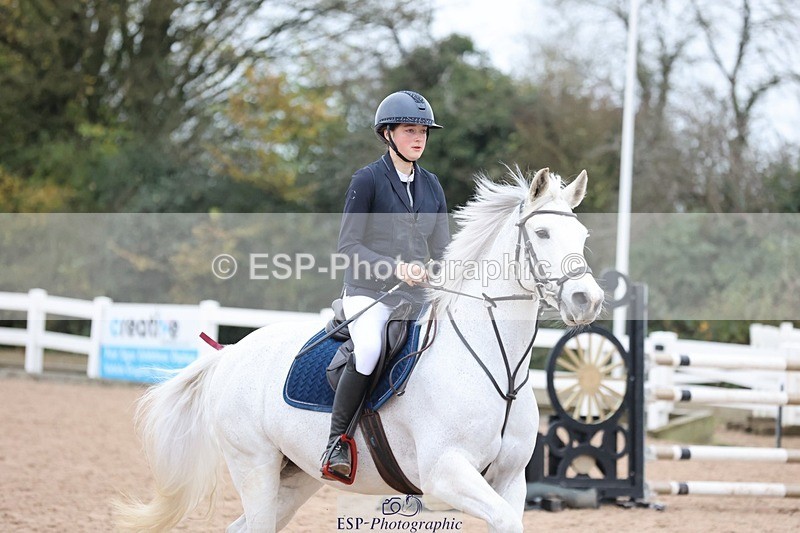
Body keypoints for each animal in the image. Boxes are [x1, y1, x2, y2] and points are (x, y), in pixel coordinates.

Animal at [114, 166, 604, 532]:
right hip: (253, 464)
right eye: (542, 232)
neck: (496, 366)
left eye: (583, 235)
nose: (588, 300)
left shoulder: (509, 480)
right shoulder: (445, 474)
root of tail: (229, 354)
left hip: (295, 474)